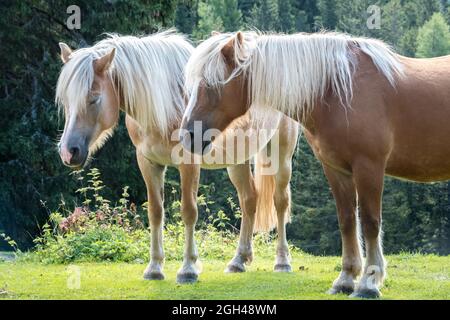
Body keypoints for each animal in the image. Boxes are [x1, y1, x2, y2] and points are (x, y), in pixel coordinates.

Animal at [56, 31, 300, 284]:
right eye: (64, 99)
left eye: (94, 98)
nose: (69, 151)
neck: (165, 104)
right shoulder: (148, 162)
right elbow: (155, 212)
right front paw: (154, 267)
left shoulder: (188, 163)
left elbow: (189, 212)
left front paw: (188, 269)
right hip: (237, 160)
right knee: (249, 199)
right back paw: (239, 260)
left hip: (280, 155)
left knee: (280, 201)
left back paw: (282, 261)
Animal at [180, 31, 450, 296]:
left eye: (211, 83)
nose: (187, 135)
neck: (338, 91)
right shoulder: (336, 169)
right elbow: (347, 221)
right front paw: (346, 278)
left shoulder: (369, 167)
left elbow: (370, 222)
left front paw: (369, 282)